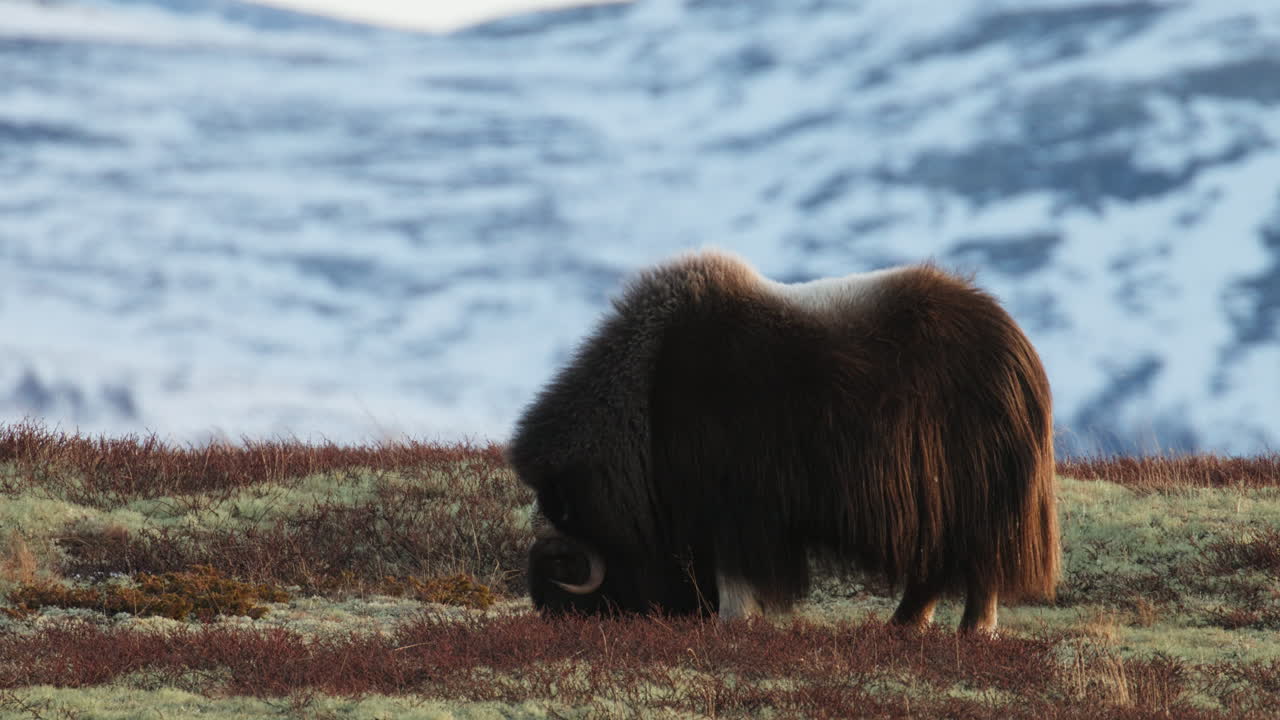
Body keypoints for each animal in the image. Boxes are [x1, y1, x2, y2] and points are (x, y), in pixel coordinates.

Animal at [507, 250, 1059, 632]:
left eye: (564, 578)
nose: (559, 623)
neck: (645, 409)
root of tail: (1017, 347)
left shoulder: (733, 509)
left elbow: (734, 576)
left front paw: (733, 622)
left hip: (973, 498)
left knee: (978, 564)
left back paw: (973, 630)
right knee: (934, 570)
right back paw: (903, 626)